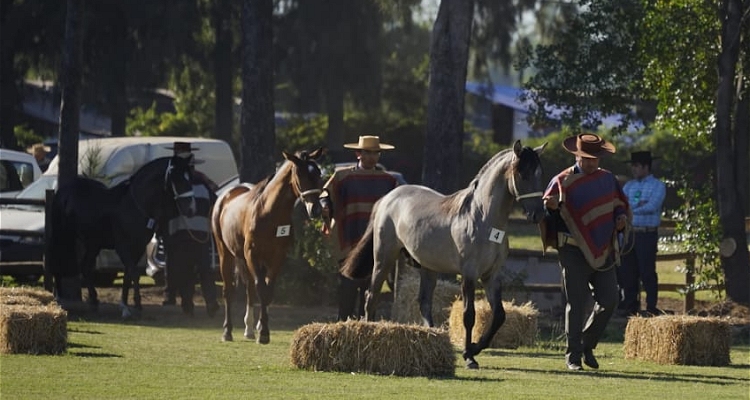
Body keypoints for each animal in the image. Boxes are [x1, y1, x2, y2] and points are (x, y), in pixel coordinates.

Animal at [49, 155, 197, 318]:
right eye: (177, 177)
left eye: (190, 178)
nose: (191, 209)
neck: (134, 205)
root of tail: (62, 191)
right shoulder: (123, 246)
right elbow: (133, 272)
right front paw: (136, 306)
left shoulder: (138, 247)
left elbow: (128, 274)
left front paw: (125, 306)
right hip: (63, 235)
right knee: (59, 261)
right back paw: (59, 299)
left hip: (93, 243)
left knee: (85, 266)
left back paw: (94, 301)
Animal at [214, 148, 326, 342]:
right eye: (300, 174)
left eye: (318, 173)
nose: (316, 209)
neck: (268, 212)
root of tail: (225, 196)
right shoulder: (252, 254)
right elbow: (262, 290)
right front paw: (264, 333)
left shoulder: (277, 256)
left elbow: (268, 291)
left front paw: (262, 329)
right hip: (225, 254)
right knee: (229, 290)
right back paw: (227, 332)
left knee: (250, 290)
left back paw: (249, 329)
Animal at [344, 141, 548, 368]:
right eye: (523, 174)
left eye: (539, 174)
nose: (539, 214)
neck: (482, 217)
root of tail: (387, 198)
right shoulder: (469, 274)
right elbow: (469, 315)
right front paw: (469, 356)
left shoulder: (491, 275)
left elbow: (499, 316)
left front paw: (475, 347)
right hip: (383, 258)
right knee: (372, 296)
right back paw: (370, 330)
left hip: (428, 267)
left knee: (424, 302)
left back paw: (432, 336)